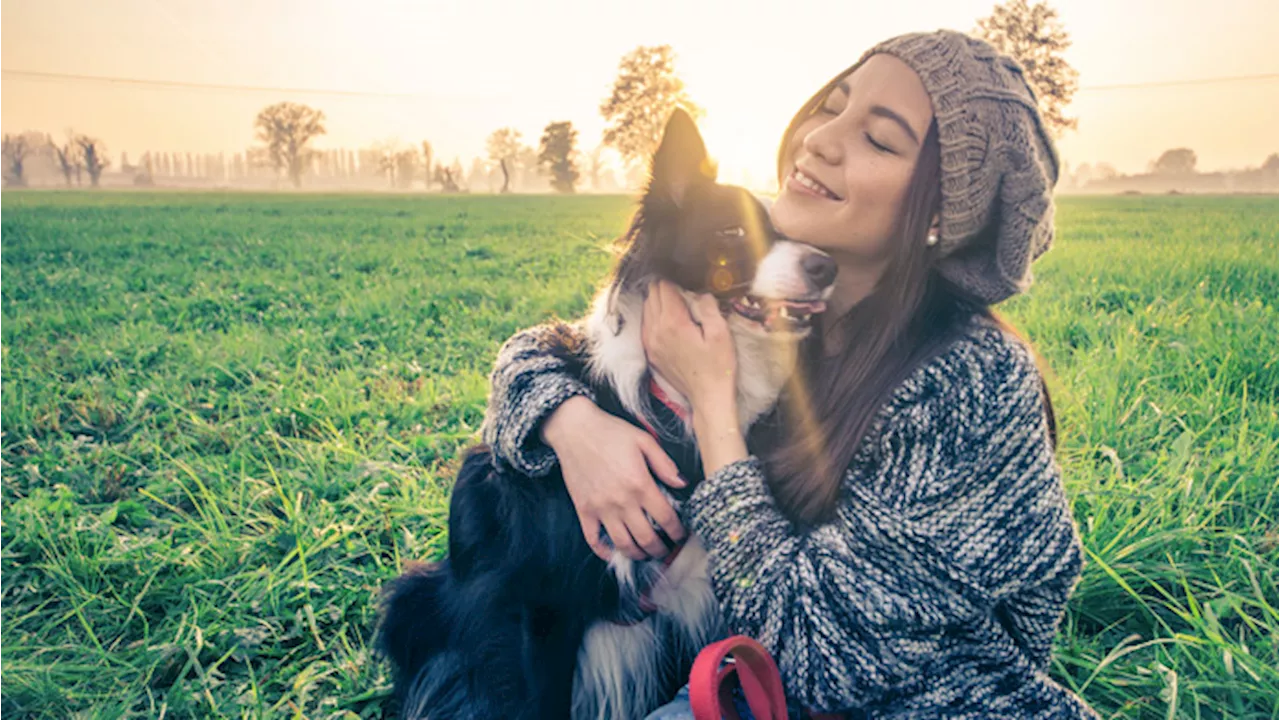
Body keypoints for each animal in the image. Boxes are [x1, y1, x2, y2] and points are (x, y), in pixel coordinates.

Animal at [376, 109, 839, 717]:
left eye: (786, 230)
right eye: (733, 231)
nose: (828, 266)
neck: (667, 400)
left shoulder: (687, 606)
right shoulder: (537, 610)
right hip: (414, 598)